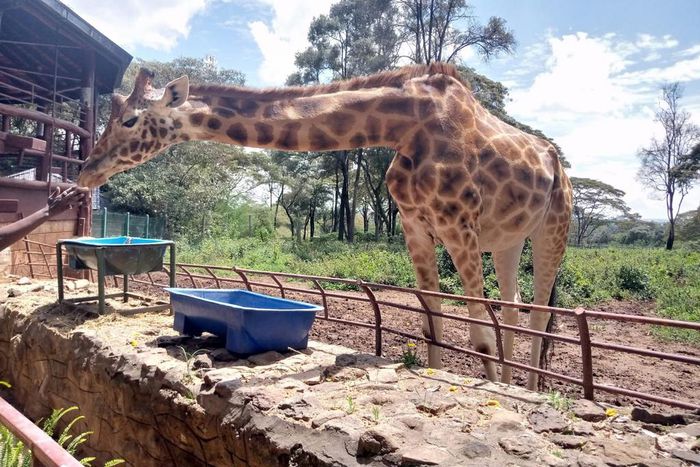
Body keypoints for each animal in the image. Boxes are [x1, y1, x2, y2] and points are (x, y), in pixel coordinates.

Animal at [77, 64, 572, 390]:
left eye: (129, 120)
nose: (86, 171)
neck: (407, 126)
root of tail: (555, 161)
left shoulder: (459, 224)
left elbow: (479, 333)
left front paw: (495, 394)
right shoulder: (415, 223)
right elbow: (432, 319)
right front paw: (439, 374)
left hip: (554, 225)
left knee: (538, 311)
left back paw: (527, 388)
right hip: (507, 239)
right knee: (514, 306)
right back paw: (516, 381)